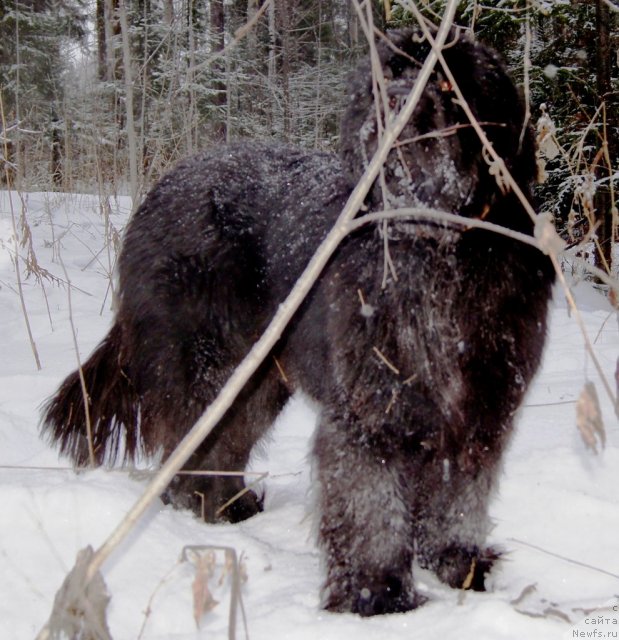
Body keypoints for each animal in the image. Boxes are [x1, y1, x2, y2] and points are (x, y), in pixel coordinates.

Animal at [43, 28, 556, 616]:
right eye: (386, 74)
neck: (436, 251)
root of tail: (159, 189)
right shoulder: (369, 410)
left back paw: (227, 505)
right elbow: (371, 506)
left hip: (257, 379)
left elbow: (459, 496)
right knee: (189, 440)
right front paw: (377, 594)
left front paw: (459, 566)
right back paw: (199, 506)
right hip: (206, 363)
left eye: (449, 82)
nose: (394, 103)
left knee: (228, 440)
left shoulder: (479, 410)